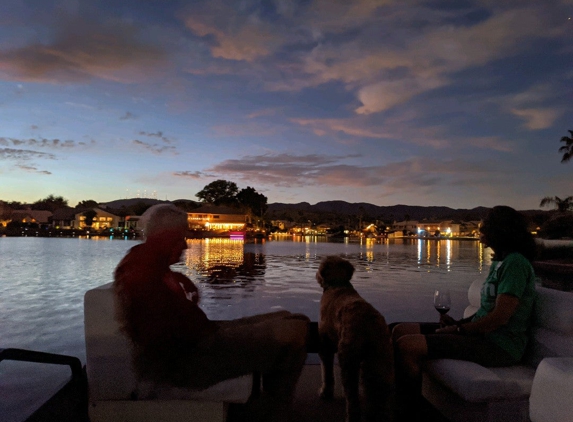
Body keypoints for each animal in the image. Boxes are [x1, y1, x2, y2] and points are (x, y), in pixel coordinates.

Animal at [316, 256, 396, 420]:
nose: (316, 276)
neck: (338, 284)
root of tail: (370, 323)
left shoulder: (325, 345)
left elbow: (327, 373)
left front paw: (325, 392)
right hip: (380, 361)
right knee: (379, 393)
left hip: (349, 358)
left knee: (352, 397)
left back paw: (351, 416)